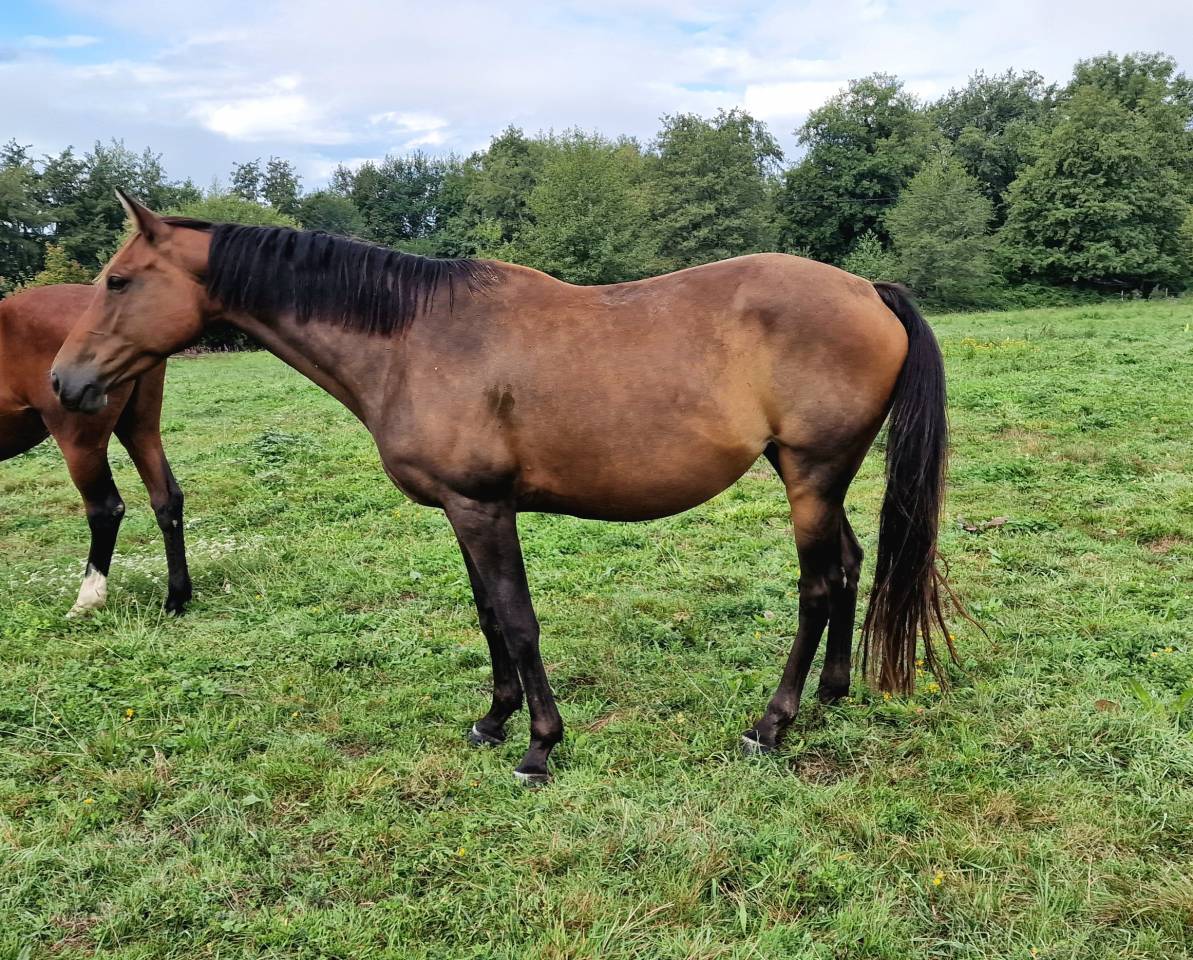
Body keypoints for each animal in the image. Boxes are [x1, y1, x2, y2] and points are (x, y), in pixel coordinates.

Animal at [1, 282, 191, 616]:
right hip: (139, 427)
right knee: (166, 499)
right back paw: (176, 598)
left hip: (80, 443)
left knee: (105, 509)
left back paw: (87, 600)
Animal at [51, 190, 959, 784]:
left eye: (117, 281)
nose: (64, 382)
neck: (412, 339)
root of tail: (866, 289)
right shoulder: (463, 511)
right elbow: (489, 617)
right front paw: (493, 720)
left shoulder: (484, 507)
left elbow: (518, 621)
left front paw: (540, 746)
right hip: (814, 477)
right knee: (847, 566)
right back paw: (831, 695)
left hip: (810, 474)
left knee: (816, 585)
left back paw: (771, 725)